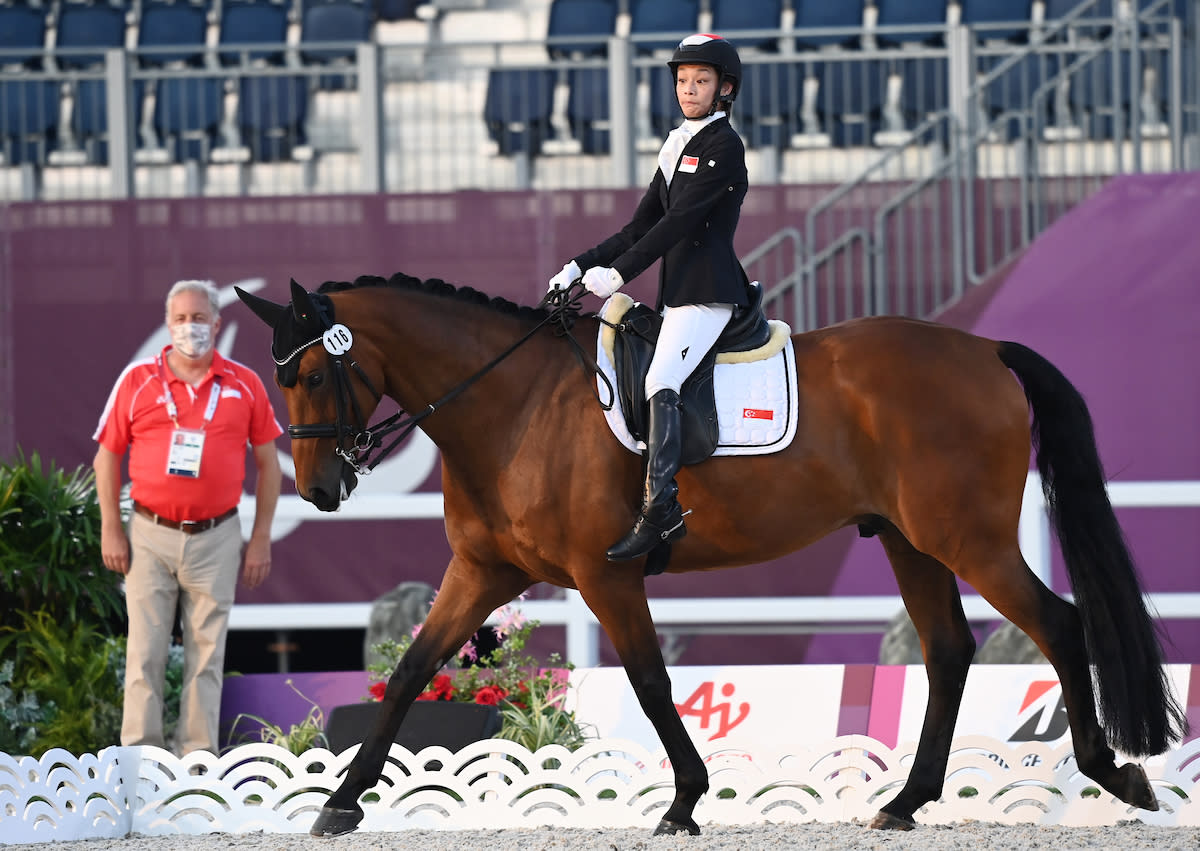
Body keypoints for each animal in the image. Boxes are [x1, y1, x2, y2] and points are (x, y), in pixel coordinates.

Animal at [238, 273, 1185, 835]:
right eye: (280, 379)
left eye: (312, 375)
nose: (320, 489)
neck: (513, 406)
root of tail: (984, 349)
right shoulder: (481, 573)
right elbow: (408, 673)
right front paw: (338, 802)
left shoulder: (606, 573)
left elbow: (652, 683)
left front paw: (685, 800)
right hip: (910, 540)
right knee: (949, 649)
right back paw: (906, 800)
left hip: (969, 537)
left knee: (1060, 625)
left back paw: (1113, 772)